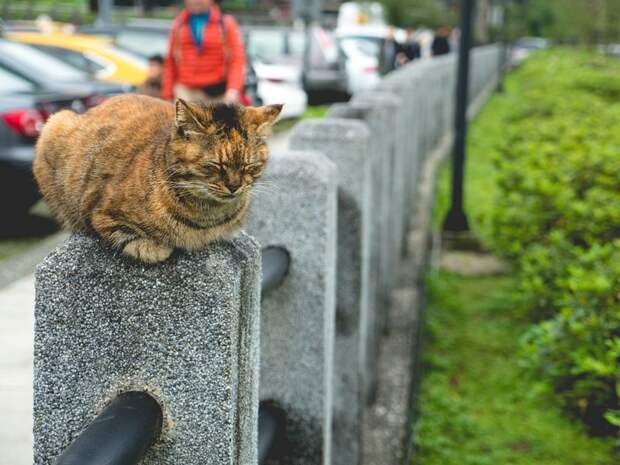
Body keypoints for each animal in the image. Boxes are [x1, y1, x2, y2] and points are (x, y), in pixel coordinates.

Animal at [35, 92, 282, 262]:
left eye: (250, 167)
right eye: (214, 166)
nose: (234, 186)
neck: (207, 217)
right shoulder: (99, 211)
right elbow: (128, 236)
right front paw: (155, 248)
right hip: (55, 125)